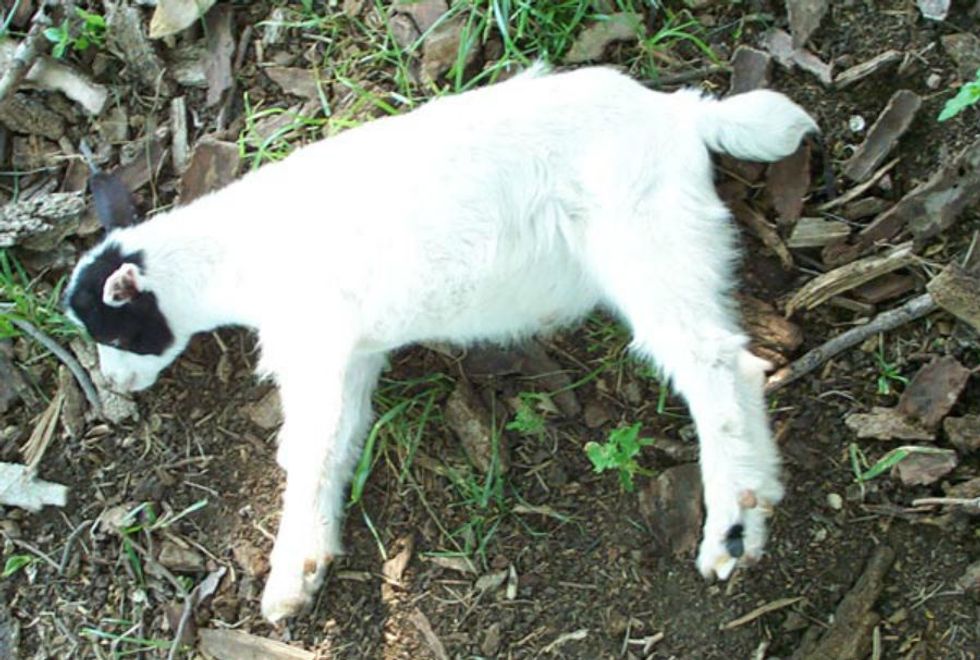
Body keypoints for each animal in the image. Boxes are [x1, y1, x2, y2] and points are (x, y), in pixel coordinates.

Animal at [64, 65, 818, 622]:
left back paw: (729, 530)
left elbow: (307, 452)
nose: (114, 389)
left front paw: (286, 578)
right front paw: (310, 563)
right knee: (737, 362)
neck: (238, 254)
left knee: (715, 364)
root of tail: (681, 116)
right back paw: (757, 505)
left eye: (115, 330)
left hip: (646, 240)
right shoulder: (353, 353)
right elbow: (339, 445)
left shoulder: (314, 342)